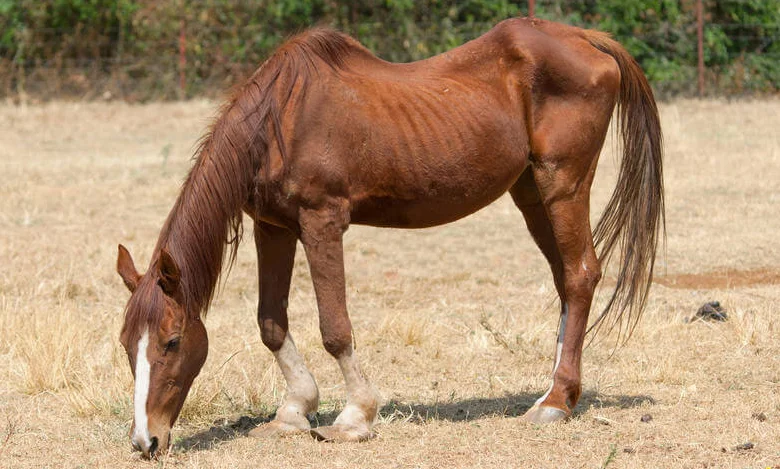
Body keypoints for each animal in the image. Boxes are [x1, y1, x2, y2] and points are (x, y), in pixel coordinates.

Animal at [116, 17, 663, 458]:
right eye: (125, 344)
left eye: (170, 341)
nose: (146, 441)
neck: (278, 122)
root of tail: (586, 38)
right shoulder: (271, 228)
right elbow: (270, 322)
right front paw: (294, 410)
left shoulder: (322, 223)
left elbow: (335, 328)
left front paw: (354, 416)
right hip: (530, 194)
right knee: (567, 280)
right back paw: (556, 393)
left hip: (563, 185)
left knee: (579, 275)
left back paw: (554, 403)